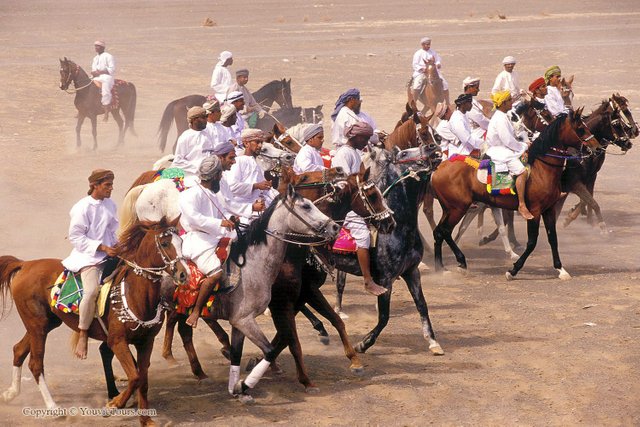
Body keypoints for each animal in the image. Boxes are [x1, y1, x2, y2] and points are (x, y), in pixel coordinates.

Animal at [0, 219, 189, 426]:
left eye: (181, 241)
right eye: (165, 243)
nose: (183, 274)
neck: (135, 294)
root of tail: (24, 264)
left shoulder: (146, 342)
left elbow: (143, 380)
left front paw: (145, 419)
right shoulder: (117, 341)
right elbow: (135, 377)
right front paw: (114, 404)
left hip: (46, 324)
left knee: (18, 350)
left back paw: (10, 393)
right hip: (37, 326)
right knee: (35, 363)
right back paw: (53, 408)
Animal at [430, 108, 600, 280]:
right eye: (580, 128)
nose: (598, 148)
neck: (542, 169)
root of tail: (438, 169)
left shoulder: (549, 209)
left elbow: (553, 238)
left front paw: (561, 269)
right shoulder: (535, 211)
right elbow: (532, 242)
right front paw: (513, 270)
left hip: (449, 209)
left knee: (438, 232)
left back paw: (440, 268)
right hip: (458, 208)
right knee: (445, 231)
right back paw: (461, 262)